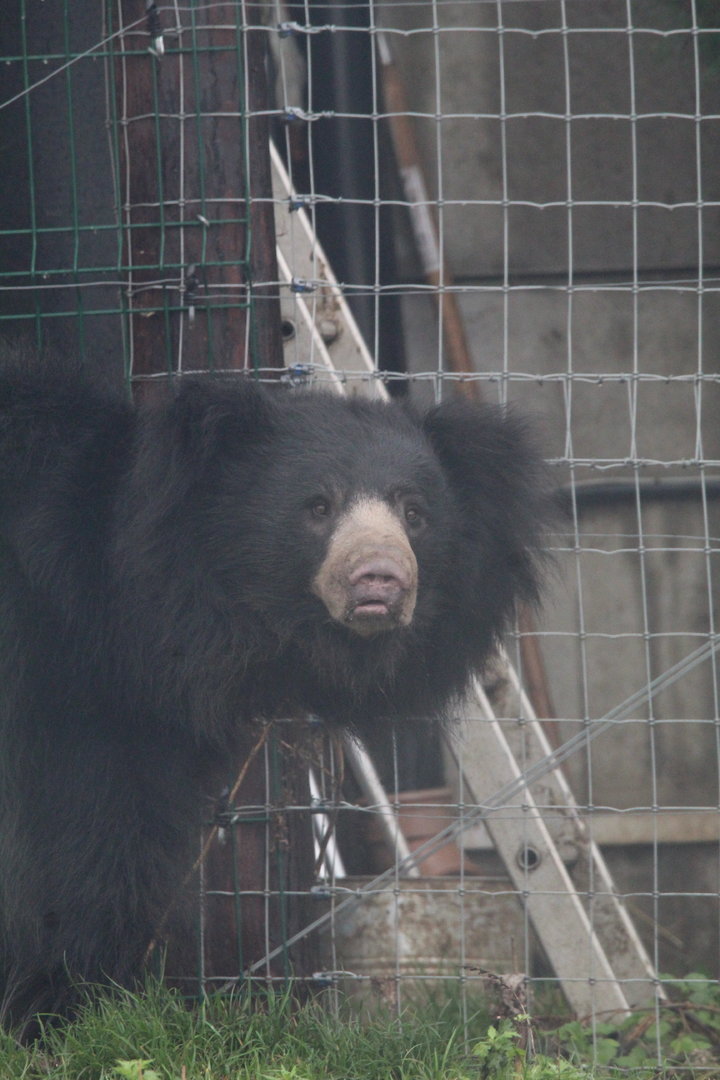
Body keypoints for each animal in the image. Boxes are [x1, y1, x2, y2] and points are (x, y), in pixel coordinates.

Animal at [0, 357, 550, 1034]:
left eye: (414, 513)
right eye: (318, 506)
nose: (381, 579)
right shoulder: (57, 672)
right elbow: (86, 831)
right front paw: (65, 1007)